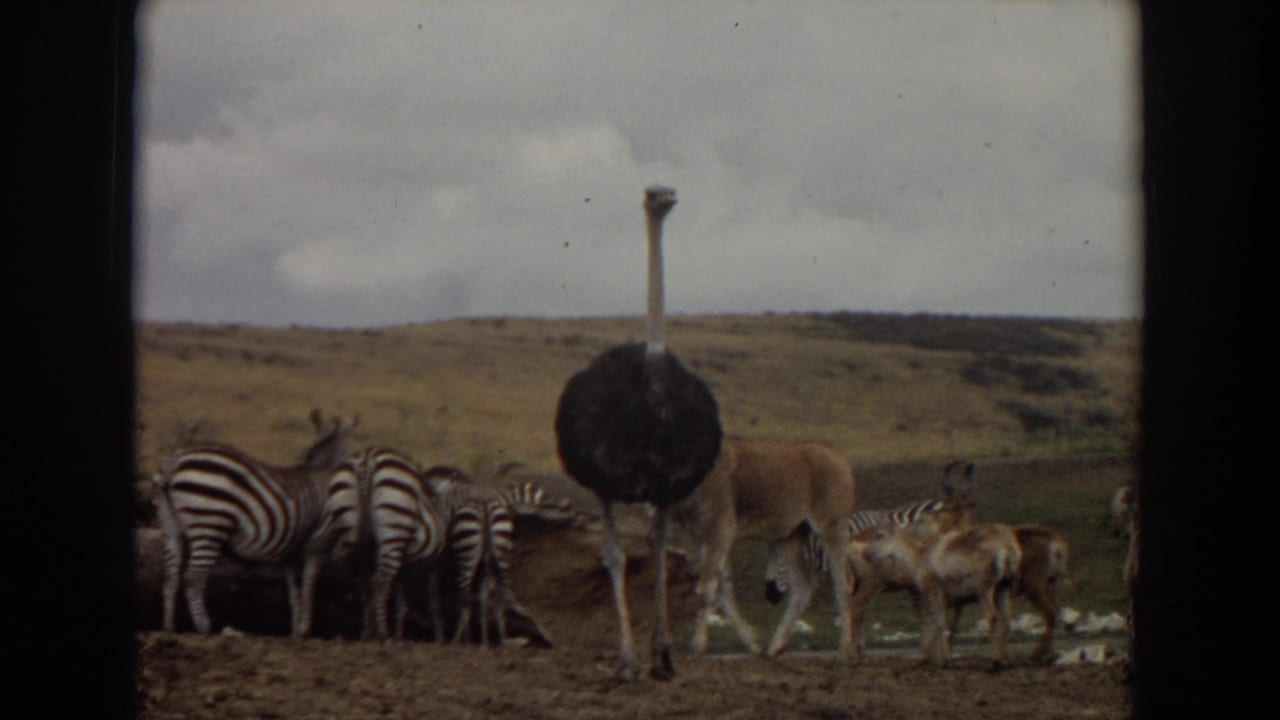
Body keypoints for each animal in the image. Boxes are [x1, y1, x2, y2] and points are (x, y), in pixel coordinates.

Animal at [152, 409, 359, 636]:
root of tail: (174, 461)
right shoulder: (319, 542)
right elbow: (309, 585)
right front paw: (305, 628)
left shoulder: (290, 553)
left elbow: (294, 591)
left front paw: (295, 631)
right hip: (209, 523)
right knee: (193, 577)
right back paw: (204, 627)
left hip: (171, 526)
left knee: (170, 576)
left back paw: (169, 627)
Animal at [671, 435, 857, 659]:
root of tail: (843, 461)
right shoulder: (702, 539)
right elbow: (724, 591)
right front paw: (753, 644)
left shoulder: (718, 533)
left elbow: (706, 589)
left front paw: (697, 645)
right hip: (789, 538)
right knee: (803, 586)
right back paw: (775, 647)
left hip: (831, 530)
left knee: (843, 582)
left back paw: (845, 649)